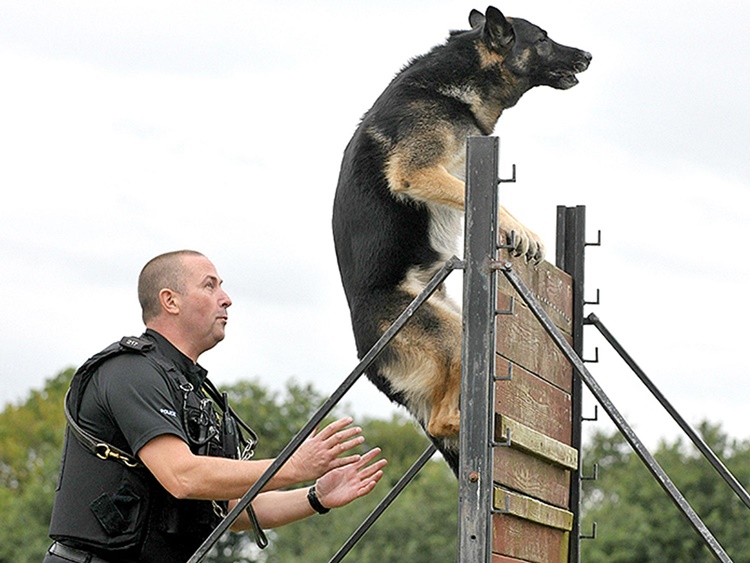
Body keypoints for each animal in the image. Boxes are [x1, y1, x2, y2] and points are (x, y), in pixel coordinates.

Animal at [332, 5, 592, 476]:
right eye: (543, 39)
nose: (588, 56)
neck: (454, 86)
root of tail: (369, 361)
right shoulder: (418, 171)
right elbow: (492, 198)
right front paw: (522, 230)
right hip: (451, 333)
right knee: (440, 419)